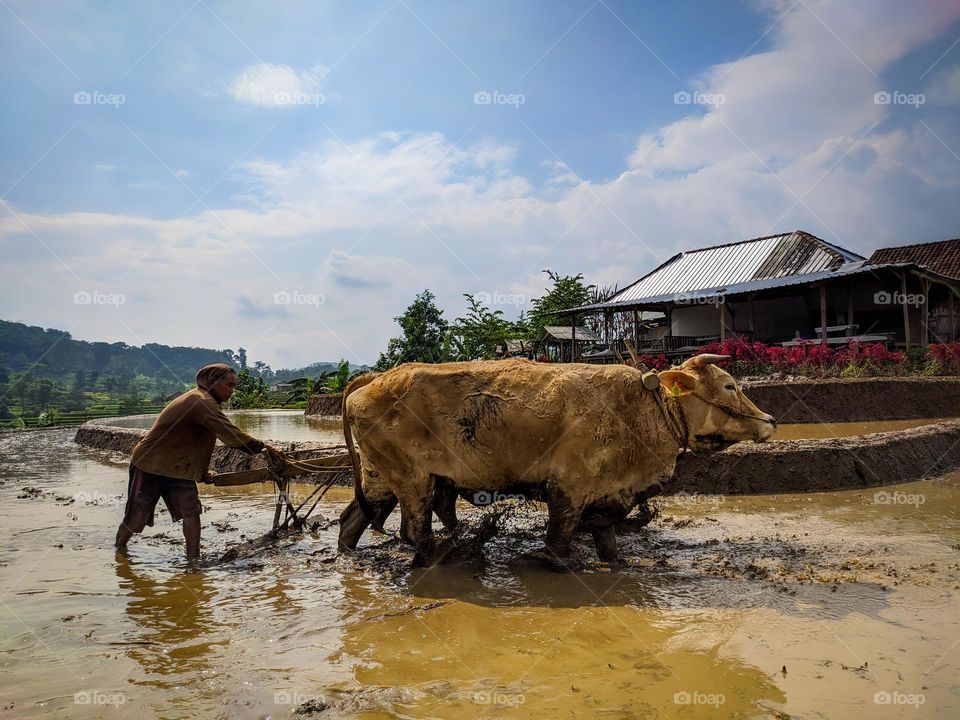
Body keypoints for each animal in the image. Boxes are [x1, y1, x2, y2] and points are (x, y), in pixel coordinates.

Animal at [337, 355, 776, 564]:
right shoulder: (570, 486)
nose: (771, 420)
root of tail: (371, 379)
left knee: (354, 519)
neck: (642, 407)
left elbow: (606, 536)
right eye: (729, 385)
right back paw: (444, 557)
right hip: (412, 480)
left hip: (382, 479)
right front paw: (557, 563)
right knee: (413, 530)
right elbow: (560, 537)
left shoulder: (615, 492)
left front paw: (615, 562)